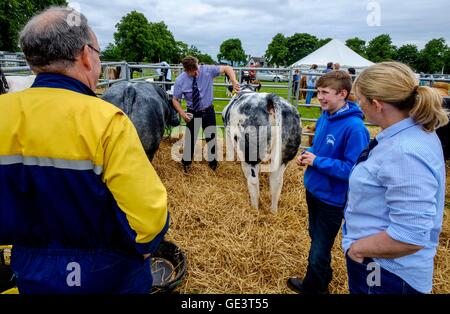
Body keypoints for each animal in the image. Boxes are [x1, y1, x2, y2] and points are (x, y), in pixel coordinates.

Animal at [222, 84, 300, 213]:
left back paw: (254, 208)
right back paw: (273, 211)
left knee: (254, 181)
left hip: (251, 153)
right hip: (285, 156)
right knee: (277, 182)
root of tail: (270, 99)